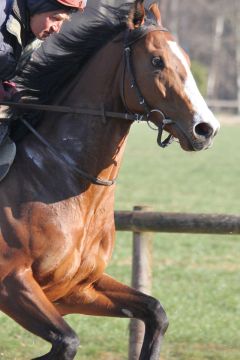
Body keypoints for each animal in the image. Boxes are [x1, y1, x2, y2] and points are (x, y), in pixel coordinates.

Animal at [0, 1, 219, 358]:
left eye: (186, 59)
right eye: (156, 61)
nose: (206, 129)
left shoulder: (75, 287)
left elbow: (155, 312)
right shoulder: (12, 283)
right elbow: (67, 342)